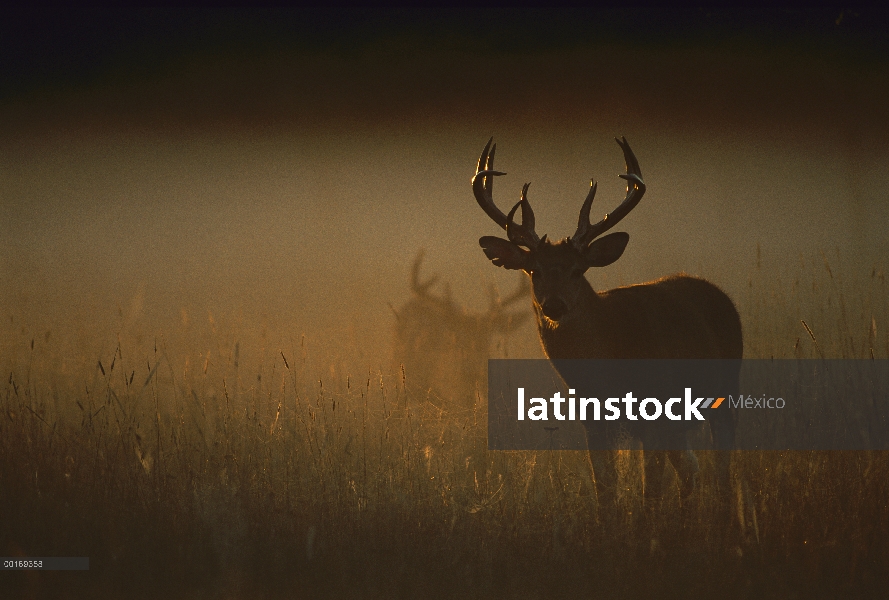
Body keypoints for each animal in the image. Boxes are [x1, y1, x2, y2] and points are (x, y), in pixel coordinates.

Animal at [472, 137, 744, 516]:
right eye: (534, 271)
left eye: (577, 270)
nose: (554, 305)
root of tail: (718, 293)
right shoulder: (593, 421)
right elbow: (605, 488)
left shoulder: (654, 412)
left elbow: (650, 489)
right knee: (691, 467)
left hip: (724, 390)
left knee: (720, 470)